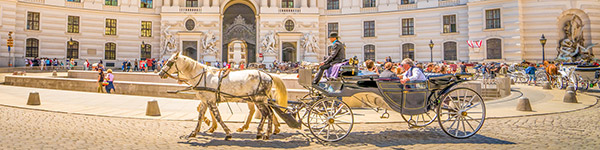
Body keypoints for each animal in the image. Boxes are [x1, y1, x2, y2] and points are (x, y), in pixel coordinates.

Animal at [159, 51, 288, 139]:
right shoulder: (205, 101)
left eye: (169, 62)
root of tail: (268, 75)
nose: (160, 73)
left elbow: (218, 116)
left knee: (267, 113)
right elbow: (200, 116)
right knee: (268, 112)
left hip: (258, 99)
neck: (202, 76)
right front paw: (194, 132)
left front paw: (227, 133)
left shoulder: (210, 101)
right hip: (259, 99)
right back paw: (264, 132)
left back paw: (265, 133)